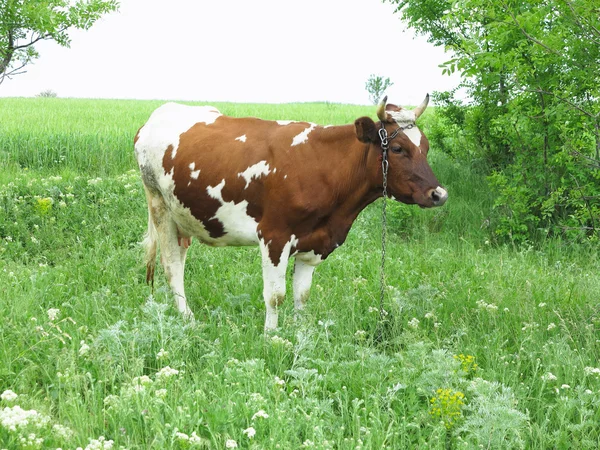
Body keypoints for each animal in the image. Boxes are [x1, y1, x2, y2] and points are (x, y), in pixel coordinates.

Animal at [135, 96, 446, 330]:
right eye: (398, 148)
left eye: (426, 147)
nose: (439, 194)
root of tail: (158, 114)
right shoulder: (274, 235)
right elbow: (275, 296)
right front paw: (271, 337)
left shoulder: (315, 241)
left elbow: (302, 295)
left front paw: (300, 332)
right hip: (160, 206)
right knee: (171, 266)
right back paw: (187, 318)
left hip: (184, 216)